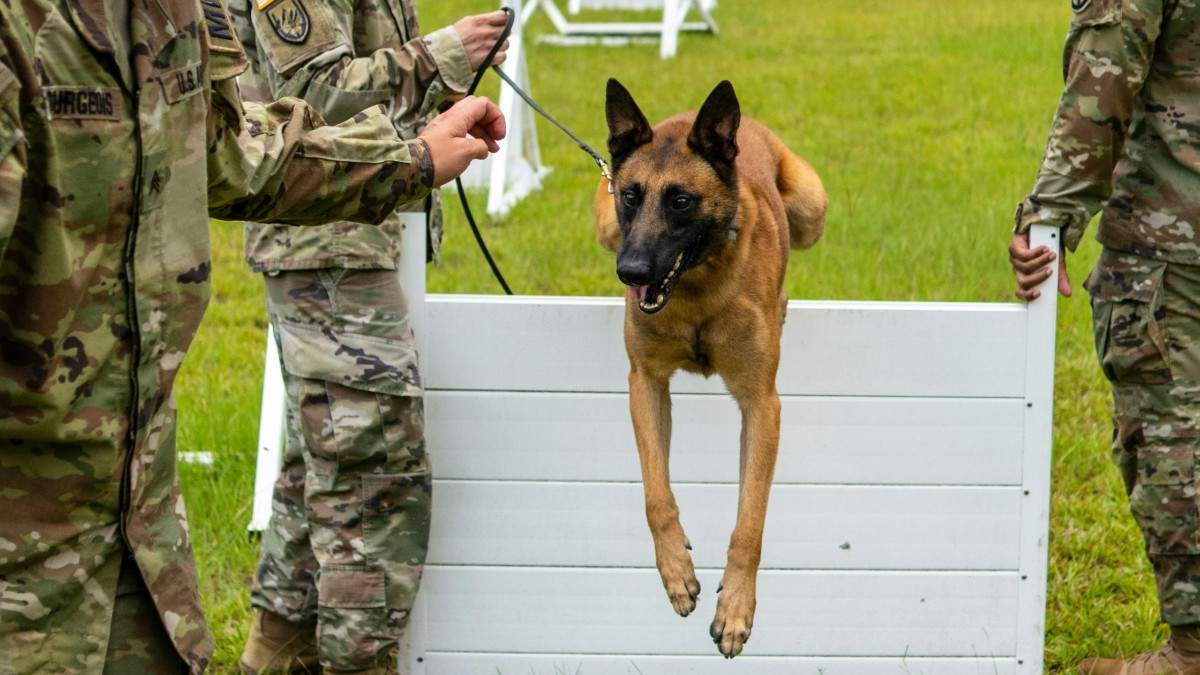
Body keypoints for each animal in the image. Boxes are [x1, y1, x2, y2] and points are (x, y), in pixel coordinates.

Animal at [590, 78, 825, 658]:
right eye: (632, 195)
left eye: (680, 200)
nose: (631, 272)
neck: (695, 289)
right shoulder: (646, 384)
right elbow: (657, 494)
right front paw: (676, 570)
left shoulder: (762, 405)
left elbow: (750, 522)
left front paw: (736, 608)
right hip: (604, 226)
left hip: (812, 207)